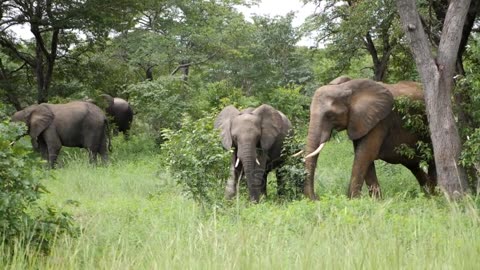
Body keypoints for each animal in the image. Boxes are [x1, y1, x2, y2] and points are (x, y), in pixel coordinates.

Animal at [306, 77, 436, 199]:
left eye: (330, 115)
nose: (316, 198)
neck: (347, 88)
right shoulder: (360, 121)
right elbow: (364, 156)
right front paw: (376, 201)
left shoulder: (379, 121)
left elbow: (365, 154)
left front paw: (353, 200)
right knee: (414, 165)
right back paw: (428, 196)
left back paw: (435, 196)